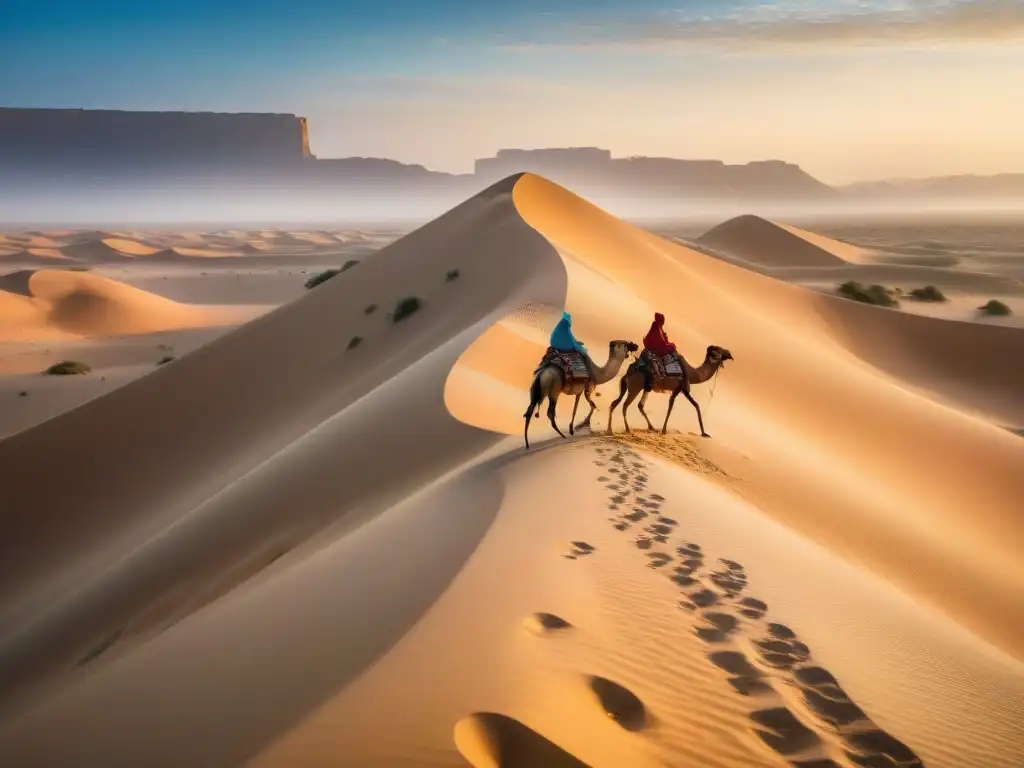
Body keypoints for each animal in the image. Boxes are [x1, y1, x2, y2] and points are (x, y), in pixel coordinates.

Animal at [602, 346, 733, 436]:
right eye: (720, 351)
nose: (729, 354)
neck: (693, 374)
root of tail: (629, 372)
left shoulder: (676, 390)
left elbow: (675, 405)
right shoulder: (683, 388)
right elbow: (694, 405)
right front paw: (704, 433)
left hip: (636, 386)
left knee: (621, 403)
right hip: (635, 387)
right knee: (625, 405)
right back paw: (628, 429)